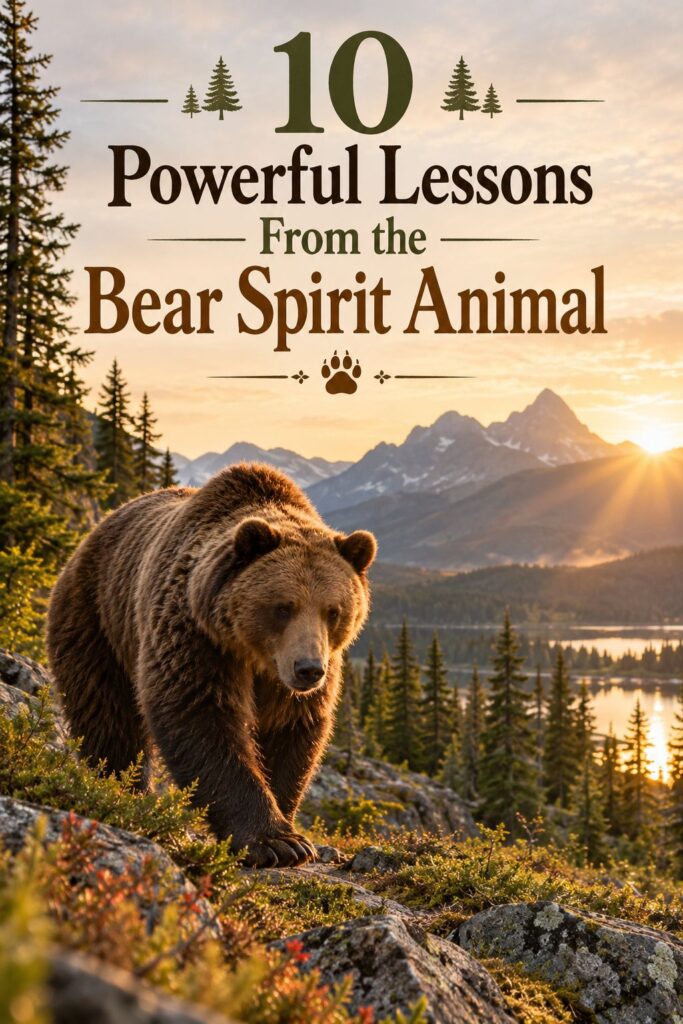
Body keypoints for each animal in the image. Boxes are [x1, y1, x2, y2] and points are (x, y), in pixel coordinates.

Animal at [46, 463, 376, 867]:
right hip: (97, 619)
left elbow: (290, 730)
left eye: (333, 611)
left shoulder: (287, 680)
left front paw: (288, 826)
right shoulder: (195, 636)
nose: (309, 669)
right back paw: (123, 789)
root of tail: (93, 533)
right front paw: (274, 841)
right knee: (108, 715)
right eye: (283, 607)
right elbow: (201, 717)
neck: (253, 653)